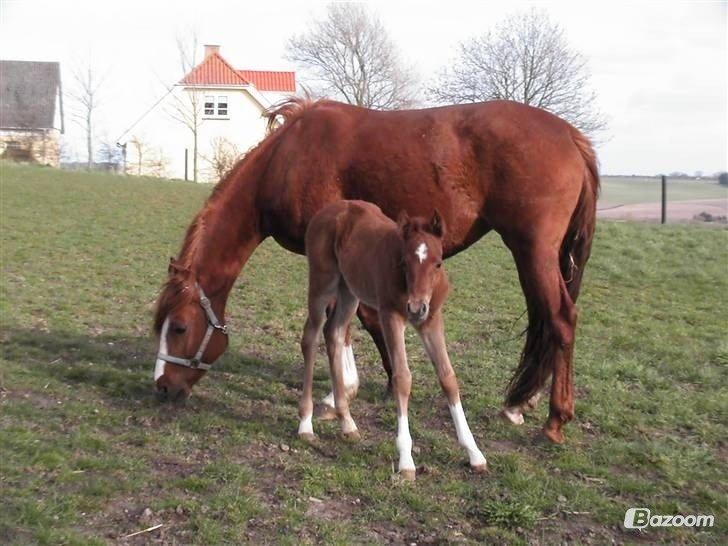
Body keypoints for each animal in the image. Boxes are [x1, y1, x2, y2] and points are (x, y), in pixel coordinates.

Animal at [152, 98, 596, 442]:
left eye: (179, 328)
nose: (162, 388)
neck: (288, 158)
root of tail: (570, 135)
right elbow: (359, 319)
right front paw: (354, 389)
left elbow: (349, 321)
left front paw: (340, 395)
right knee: (547, 323)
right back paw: (522, 403)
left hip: (533, 251)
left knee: (560, 319)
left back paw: (554, 420)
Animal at [298, 200, 486, 476]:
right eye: (404, 262)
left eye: (438, 263)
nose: (416, 309)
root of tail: (328, 210)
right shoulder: (391, 317)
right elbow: (402, 378)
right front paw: (406, 460)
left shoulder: (432, 320)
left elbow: (448, 377)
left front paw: (474, 453)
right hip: (323, 282)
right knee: (310, 337)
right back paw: (305, 424)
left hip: (349, 291)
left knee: (334, 334)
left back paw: (347, 423)